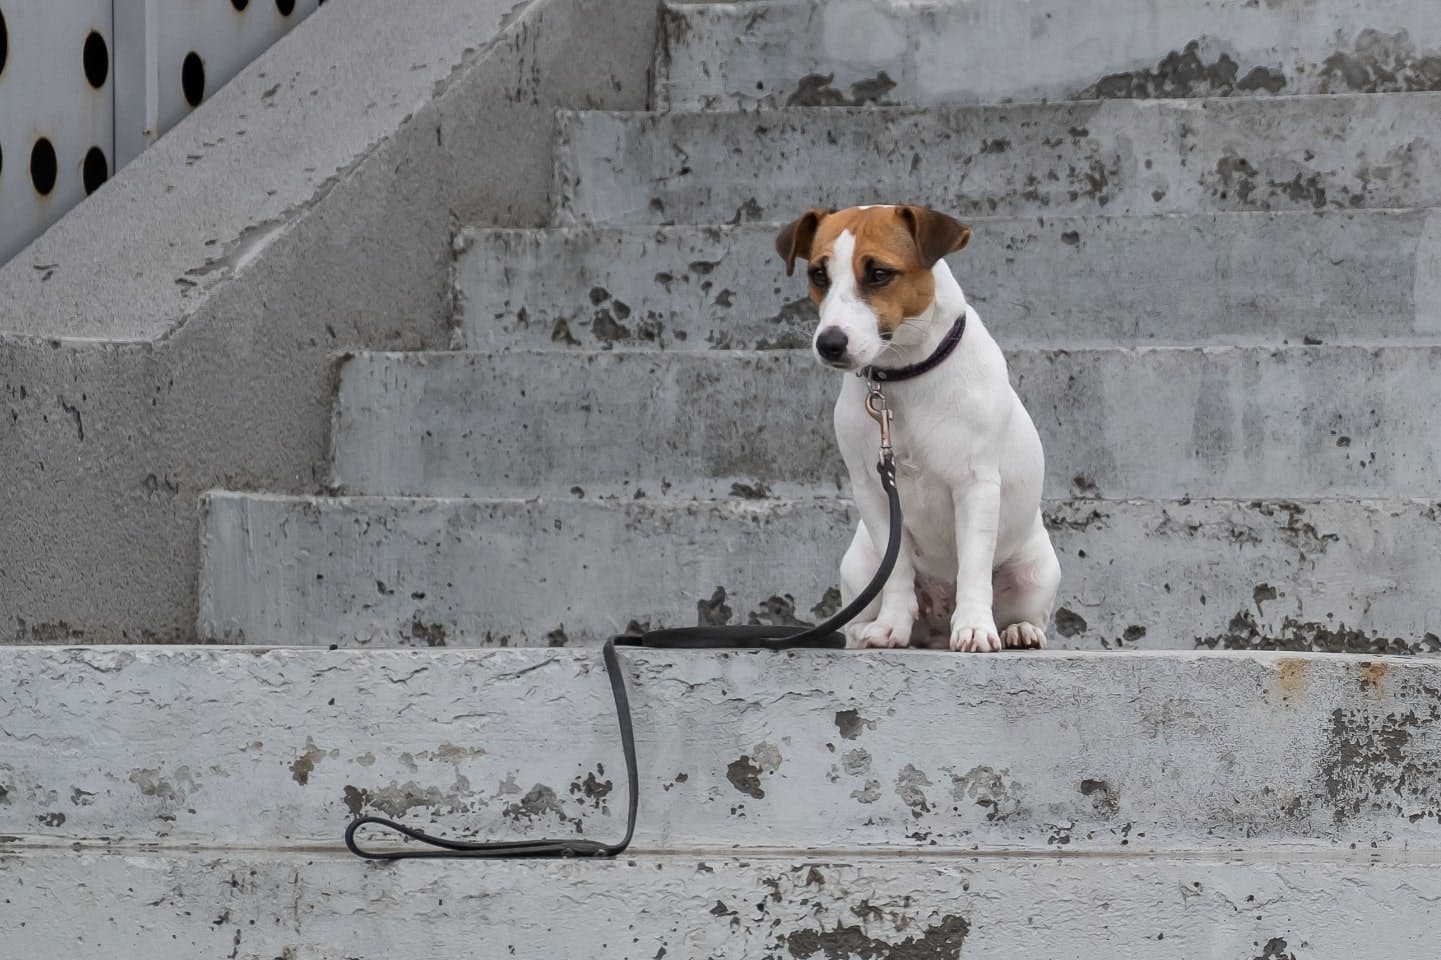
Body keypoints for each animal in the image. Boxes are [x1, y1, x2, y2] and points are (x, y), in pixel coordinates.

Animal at [778, 201, 1060, 651]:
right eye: (818, 274)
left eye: (879, 273)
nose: (830, 343)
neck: (902, 377)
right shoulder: (873, 492)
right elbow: (896, 574)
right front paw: (890, 625)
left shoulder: (976, 485)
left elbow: (975, 565)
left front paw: (975, 626)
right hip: (860, 565)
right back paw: (863, 632)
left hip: (1037, 570)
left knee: (1026, 610)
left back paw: (1019, 630)